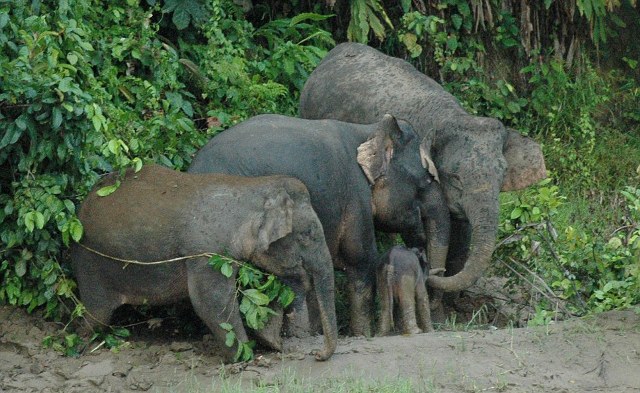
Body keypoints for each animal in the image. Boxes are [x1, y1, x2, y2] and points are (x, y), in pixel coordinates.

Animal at [70, 163, 338, 362]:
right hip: (91, 262)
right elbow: (211, 301)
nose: (317, 354)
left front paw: (270, 342)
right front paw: (245, 356)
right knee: (96, 314)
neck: (252, 187)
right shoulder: (205, 253)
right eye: (308, 234)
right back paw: (82, 344)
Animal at [298, 43, 544, 318]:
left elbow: (462, 237)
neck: (451, 117)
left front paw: (453, 309)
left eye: (502, 175)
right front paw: (438, 312)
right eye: (456, 177)